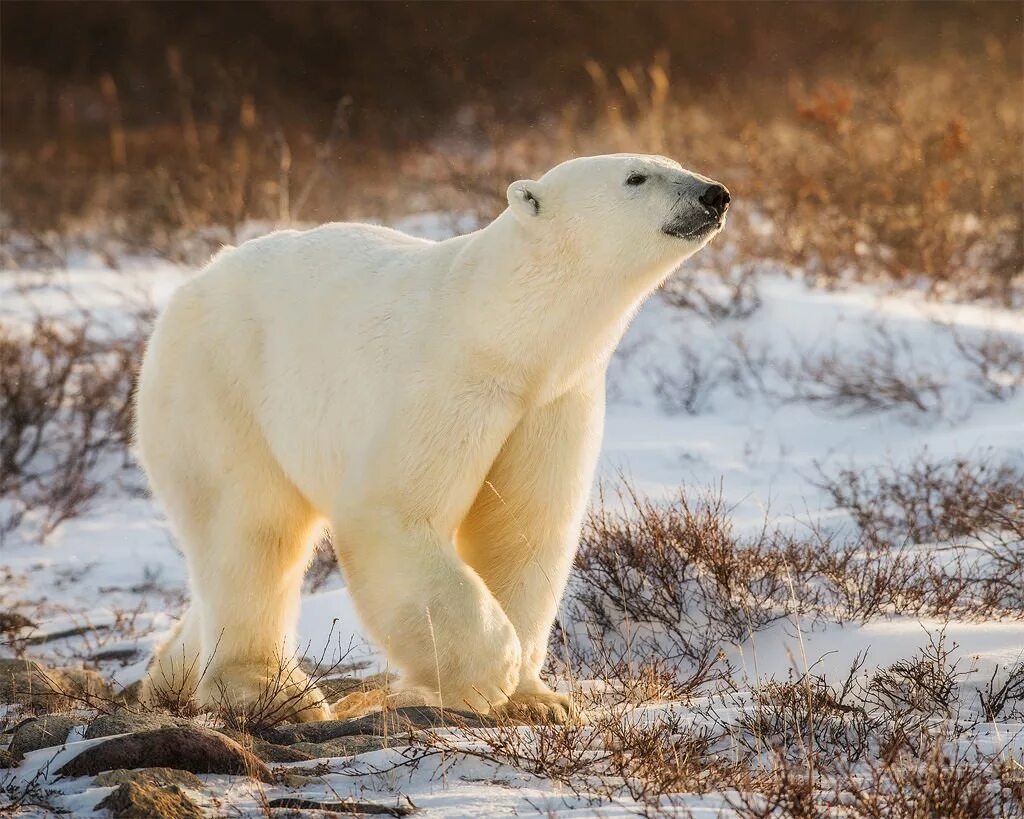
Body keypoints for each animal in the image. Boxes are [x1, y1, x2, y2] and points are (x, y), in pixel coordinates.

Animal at [136, 153, 729, 724]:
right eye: (636, 176)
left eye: (675, 161)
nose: (715, 193)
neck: (506, 329)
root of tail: (191, 285)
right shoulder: (448, 380)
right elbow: (395, 512)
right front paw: (492, 673)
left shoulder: (553, 399)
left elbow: (525, 529)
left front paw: (540, 700)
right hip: (219, 384)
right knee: (251, 529)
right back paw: (267, 689)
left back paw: (171, 672)